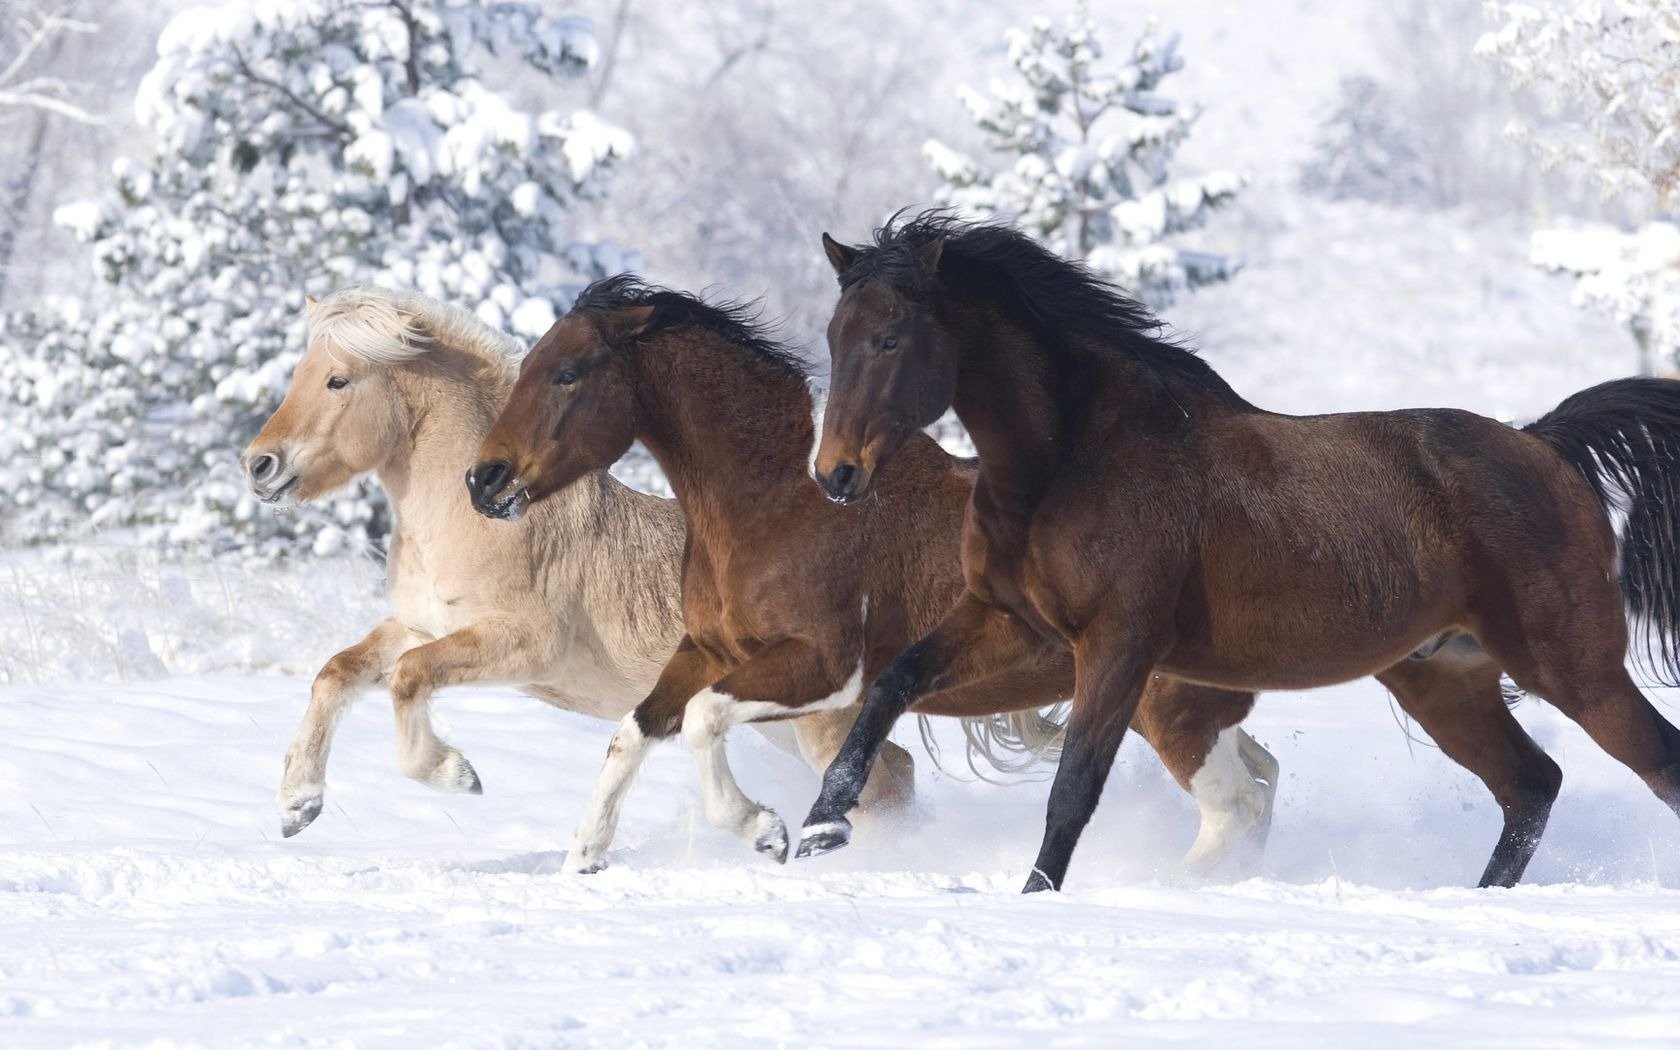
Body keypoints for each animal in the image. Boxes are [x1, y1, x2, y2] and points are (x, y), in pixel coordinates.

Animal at [240, 285, 917, 838]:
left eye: (338, 380)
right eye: (301, 373)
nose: (258, 466)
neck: (476, 519)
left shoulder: (522, 643)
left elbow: (408, 678)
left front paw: (456, 774)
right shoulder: (420, 625)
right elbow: (337, 672)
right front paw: (297, 805)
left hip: (816, 723)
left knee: (880, 787)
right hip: (779, 721)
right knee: (898, 770)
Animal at [467, 274, 1283, 877]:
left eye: (568, 374)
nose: (483, 480)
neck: (776, 501)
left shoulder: (823, 667)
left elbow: (701, 721)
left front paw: (767, 831)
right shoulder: (706, 650)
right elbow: (633, 733)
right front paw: (584, 856)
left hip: (1165, 706)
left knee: (1235, 806)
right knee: (1261, 780)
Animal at [800, 212, 1680, 892]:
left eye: (889, 337)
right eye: (835, 336)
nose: (835, 475)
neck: (1072, 457)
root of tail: (1544, 445)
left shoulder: (1119, 645)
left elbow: (1072, 788)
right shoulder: (1008, 621)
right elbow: (890, 686)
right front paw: (819, 830)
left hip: (1572, 667)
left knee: (1651, 764)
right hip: (1445, 679)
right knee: (1531, 787)